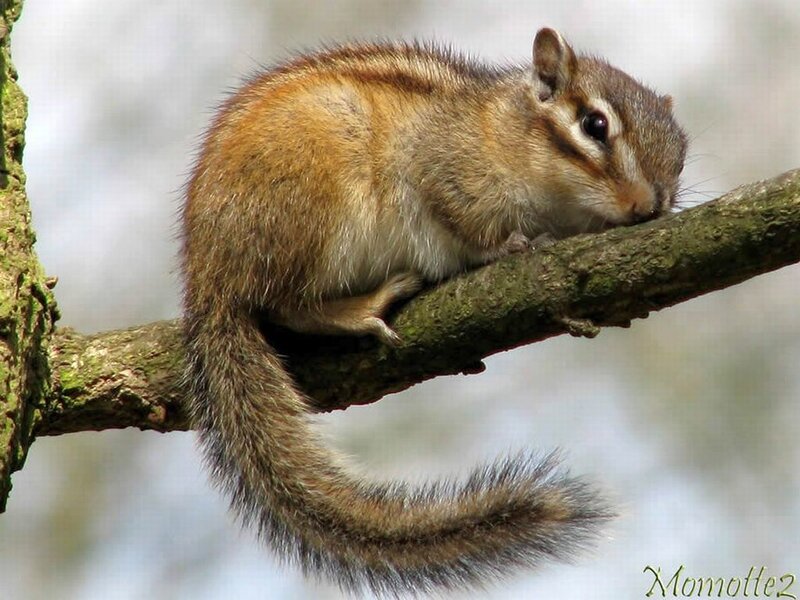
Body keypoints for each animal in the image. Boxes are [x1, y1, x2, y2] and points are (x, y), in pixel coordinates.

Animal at [180, 28, 687, 596]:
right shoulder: (443, 169)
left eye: (682, 151)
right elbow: (464, 220)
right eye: (595, 125)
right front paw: (505, 247)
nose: (648, 206)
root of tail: (207, 277)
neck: (502, 129)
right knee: (285, 305)